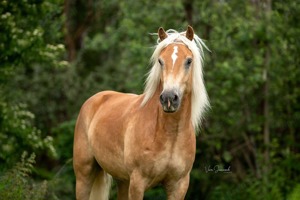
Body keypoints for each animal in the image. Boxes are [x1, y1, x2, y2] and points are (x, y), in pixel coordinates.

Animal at [73, 25, 209, 200]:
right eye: (160, 61)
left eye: (189, 61)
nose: (169, 98)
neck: (168, 134)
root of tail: (95, 99)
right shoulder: (137, 183)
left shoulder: (179, 186)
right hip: (84, 175)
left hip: (123, 181)